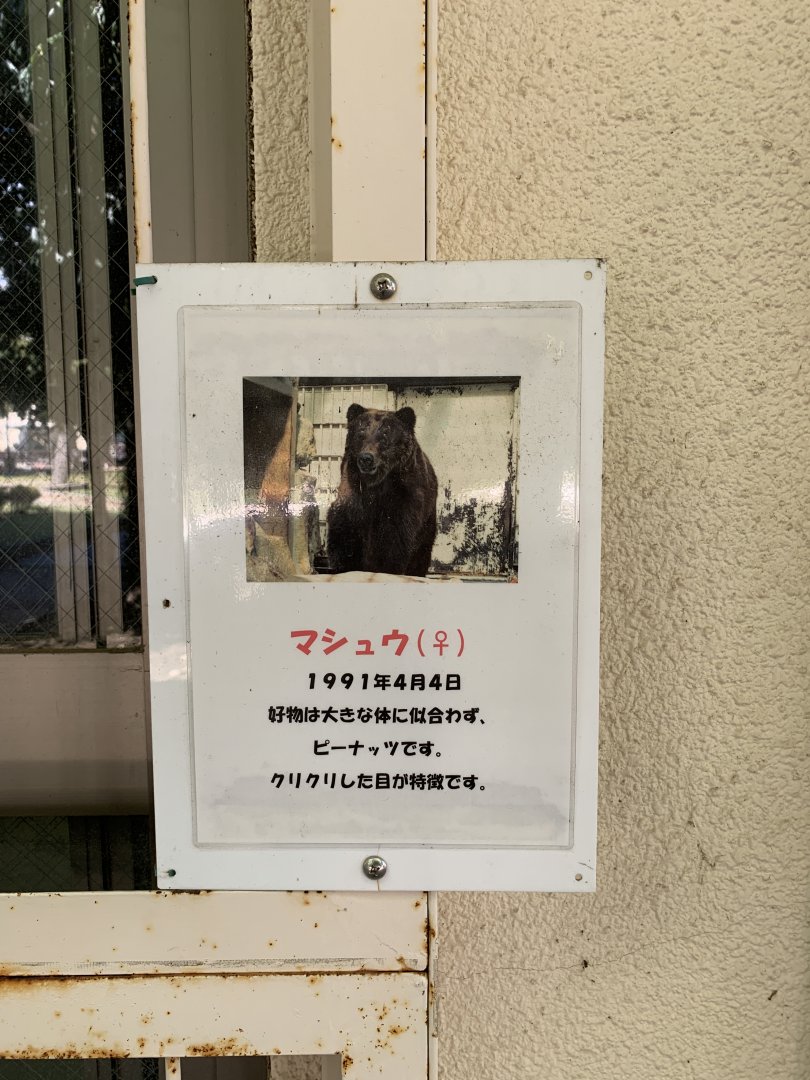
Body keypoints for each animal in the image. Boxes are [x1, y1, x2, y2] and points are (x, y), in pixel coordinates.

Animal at [326, 403, 438, 577]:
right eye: (361, 433)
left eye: (385, 434)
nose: (366, 458)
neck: (376, 484)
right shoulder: (353, 490)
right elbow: (346, 525)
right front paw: (346, 563)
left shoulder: (403, 496)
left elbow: (394, 535)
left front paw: (387, 567)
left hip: (428, 518)